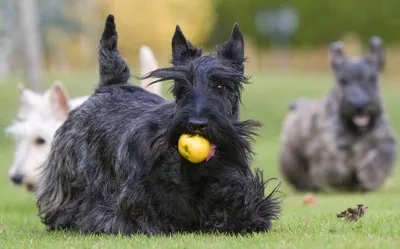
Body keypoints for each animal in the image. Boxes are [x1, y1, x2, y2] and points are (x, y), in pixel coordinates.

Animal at [36, 15, 282, 235]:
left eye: (222, 86)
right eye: (181, 86)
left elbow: (245, 212)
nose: (196, 124)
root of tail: (110, 86)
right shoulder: (131, 205)